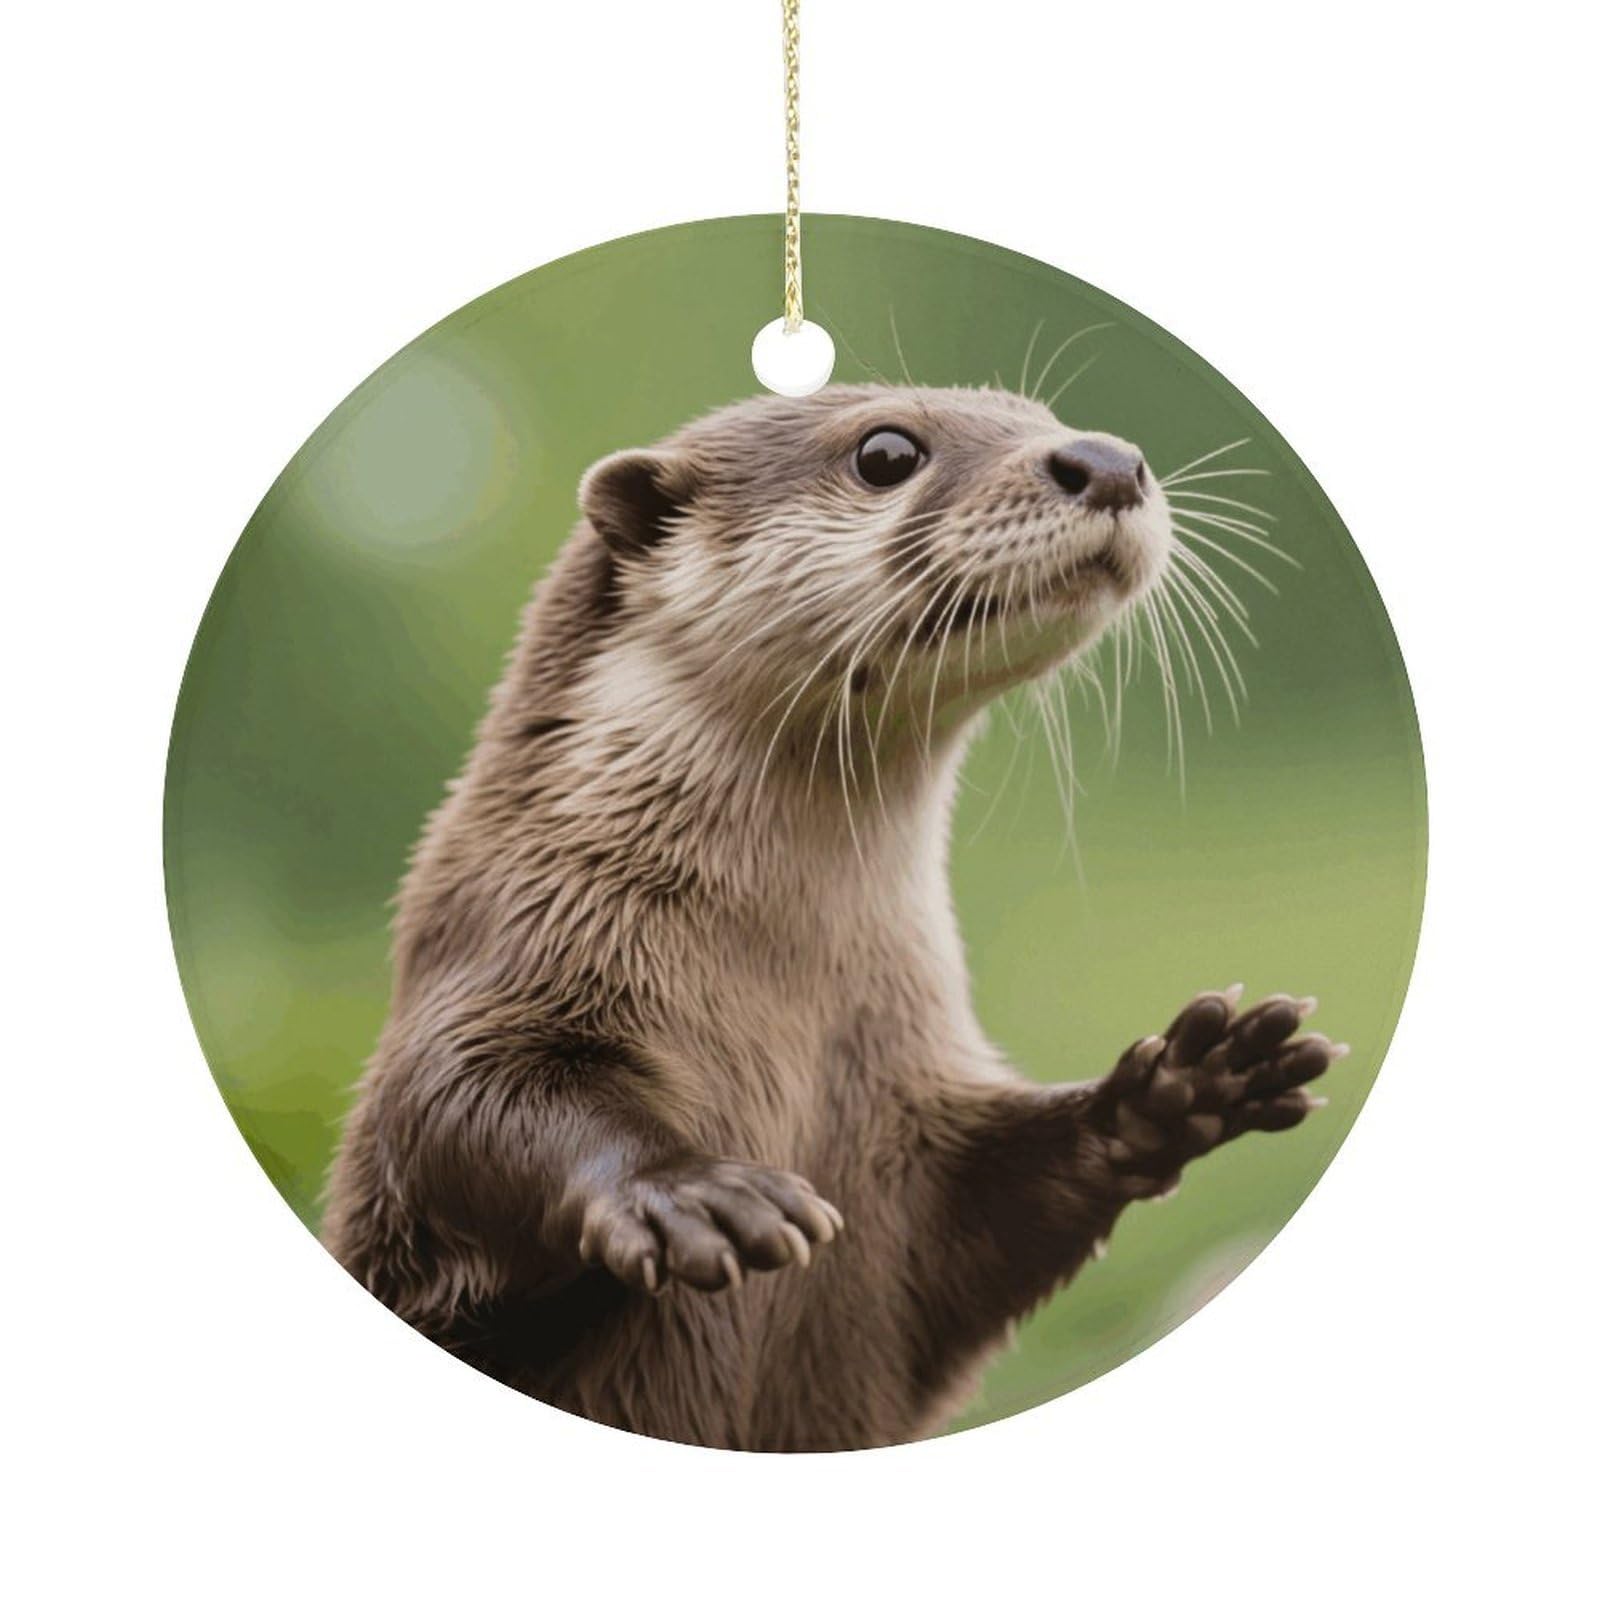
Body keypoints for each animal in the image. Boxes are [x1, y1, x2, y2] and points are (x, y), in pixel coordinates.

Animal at [322, 383, 1343, 1450]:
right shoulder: (504, 954)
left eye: (1045, 413)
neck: (788, 996)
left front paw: (1182, 1084)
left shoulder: (913, 1113)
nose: (1106, 460)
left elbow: (988, 1221)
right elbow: (457, 1105)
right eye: (886, 452)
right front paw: (691, 1191)